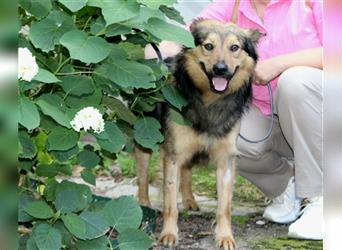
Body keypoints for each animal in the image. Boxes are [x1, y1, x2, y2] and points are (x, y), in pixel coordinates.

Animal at [135, 19, 260, 248]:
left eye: (234, 47)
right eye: (208, 46)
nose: (220, 69)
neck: (210, 102)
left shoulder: (226, 159)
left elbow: (224, 208)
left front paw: (225, 237)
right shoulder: (173, 155)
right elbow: (170, 203)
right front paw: (169, 234)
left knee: (187, 171)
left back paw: (190, 200)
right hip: (144, 142)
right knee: (142, 177)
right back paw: (145, 204)